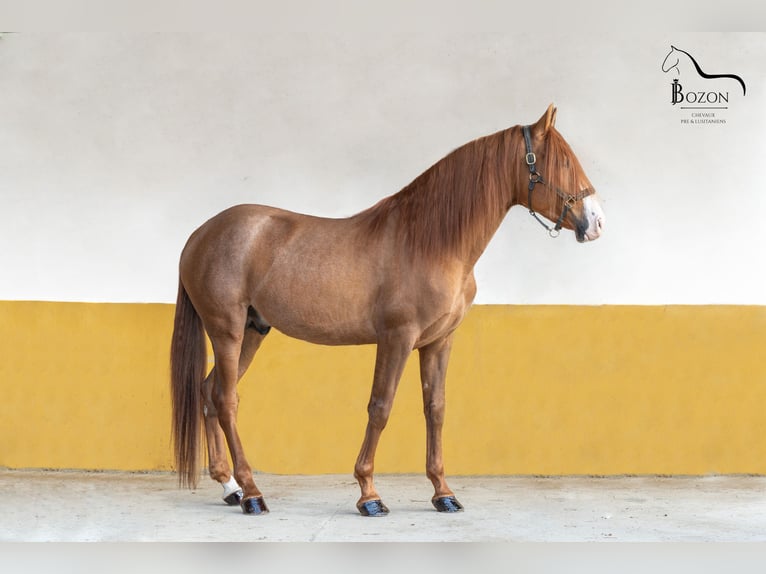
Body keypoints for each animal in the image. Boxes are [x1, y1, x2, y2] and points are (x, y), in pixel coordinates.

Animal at [170, 104, 608, 516]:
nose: (596, 222)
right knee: (226, 399)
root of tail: (200, 234)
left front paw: (443, 493)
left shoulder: (438, 342)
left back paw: (230, 487)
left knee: (209, 392)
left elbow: (436, 409)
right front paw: (369, 494)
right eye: (561, 162)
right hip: (226, 330)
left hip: (253, 330)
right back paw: (252, 493)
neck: (431, 242)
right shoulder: (396, 337)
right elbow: (380, 407)